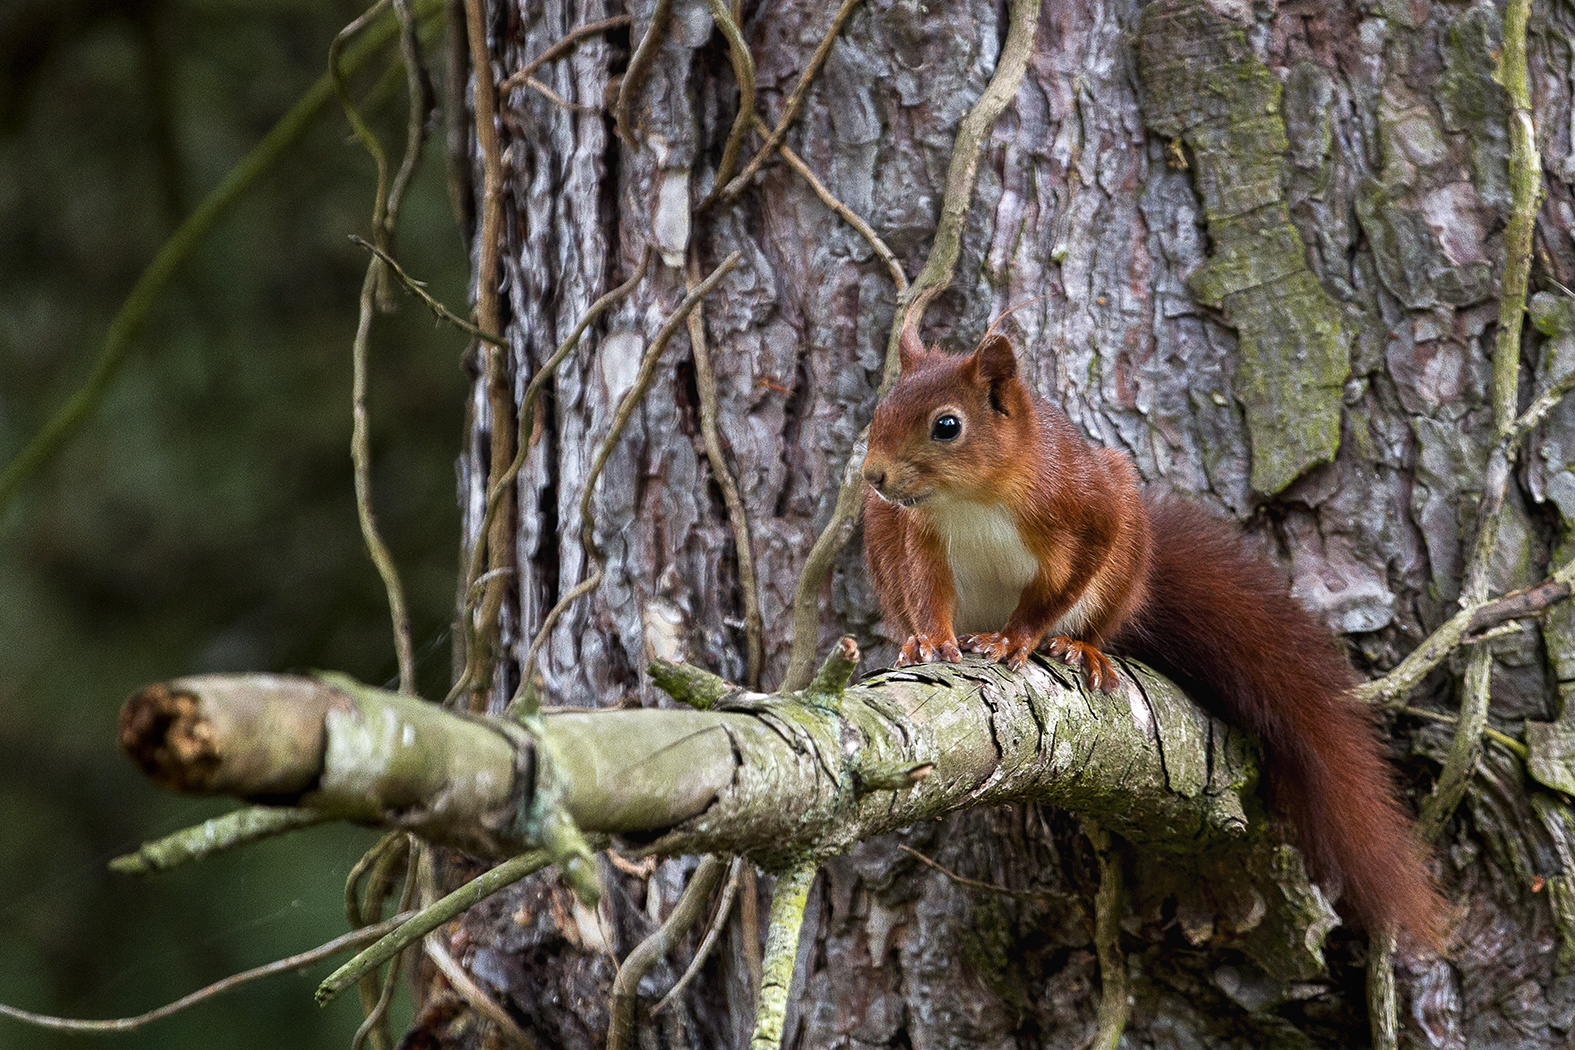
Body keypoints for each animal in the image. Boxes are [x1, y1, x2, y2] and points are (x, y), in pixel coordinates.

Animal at [869, 324, 1442, 950]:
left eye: (947, 425)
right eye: (881, 407)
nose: (871, 476)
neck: (973, 498)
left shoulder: (1088, 507)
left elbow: (1061, 587)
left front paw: (1015, 640)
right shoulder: (919, 533)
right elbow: (927, 591)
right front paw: (930, 641)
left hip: (1128, 553)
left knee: (1098, 611)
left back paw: (1082, 647)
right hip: (880, 533)